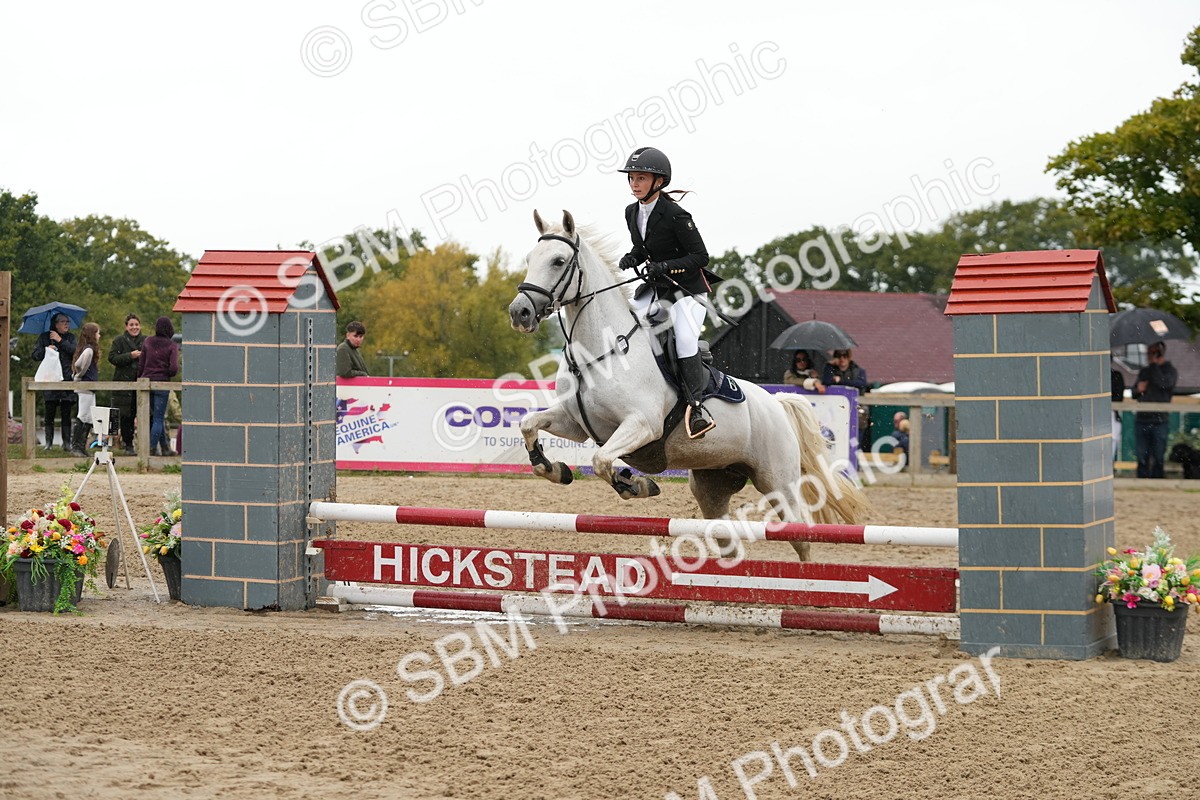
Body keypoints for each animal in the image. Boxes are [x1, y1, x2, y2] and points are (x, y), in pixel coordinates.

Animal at [507, 210, 869, 559]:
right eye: (529, 258)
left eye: (558, 261)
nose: (519, 312)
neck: (600, 350)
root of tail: (776, 403)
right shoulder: (576, 423)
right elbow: (528, 425)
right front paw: (553, 468)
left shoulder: (642, 425)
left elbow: (602, 461)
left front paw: (635, 486)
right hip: (713, 483)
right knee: (728, 540)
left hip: (778, 482)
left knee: (801, 536)